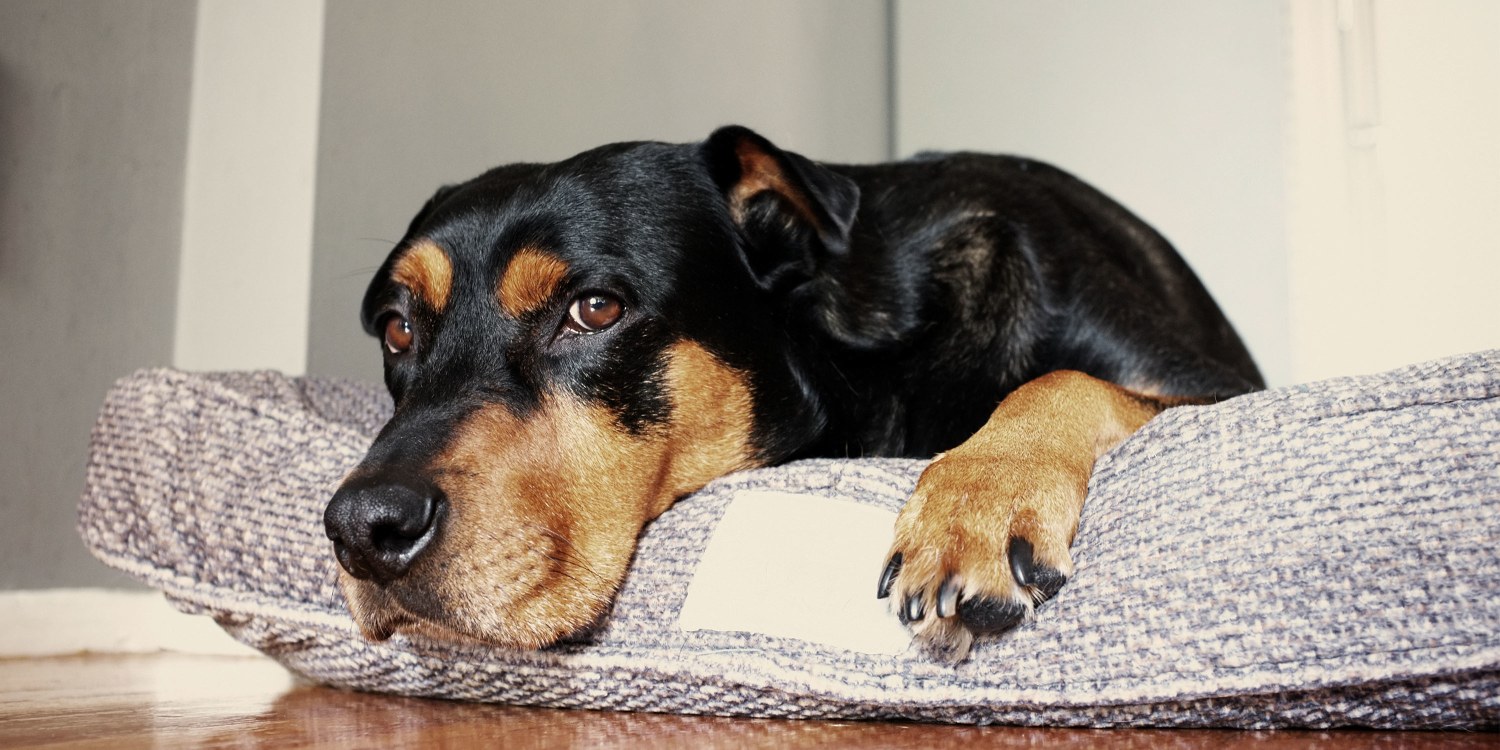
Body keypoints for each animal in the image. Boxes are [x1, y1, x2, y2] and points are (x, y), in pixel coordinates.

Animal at [322, 127, 1260, 663]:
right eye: (397, 330)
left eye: (595, 309)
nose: (363, 529)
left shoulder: (1224, 391)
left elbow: (1063, 378)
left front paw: (977, 507)